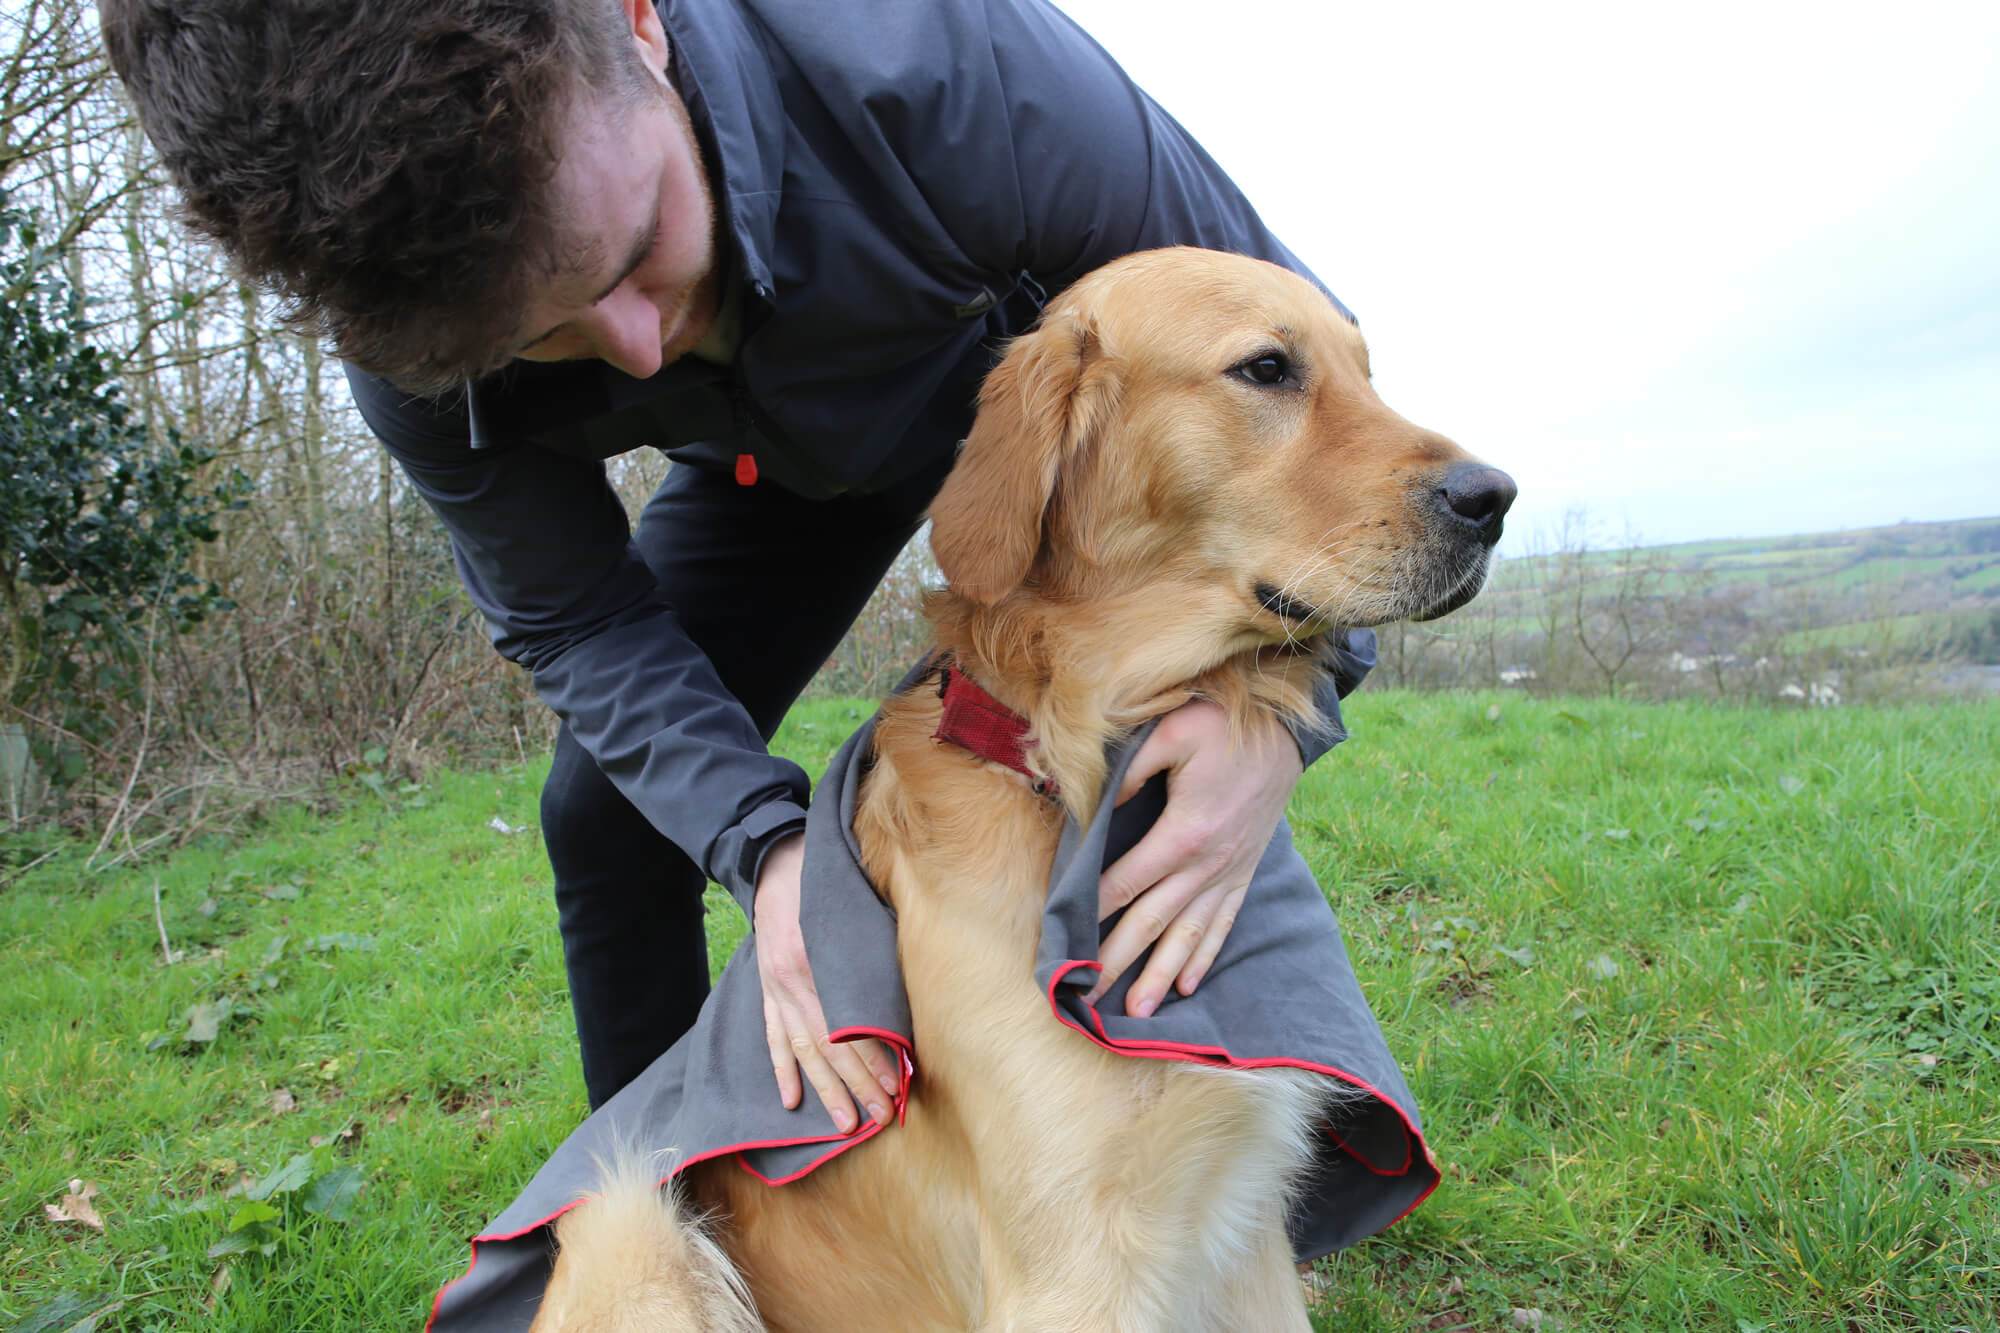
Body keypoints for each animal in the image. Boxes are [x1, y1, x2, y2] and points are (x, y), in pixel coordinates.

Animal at [524, 244, 1504, 1320]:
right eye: (1265, 369)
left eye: (1365, 373)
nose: (1493, 497)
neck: (1080, 775)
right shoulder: (1071, 1264)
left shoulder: (1244, 1232)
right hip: (632, 1224)